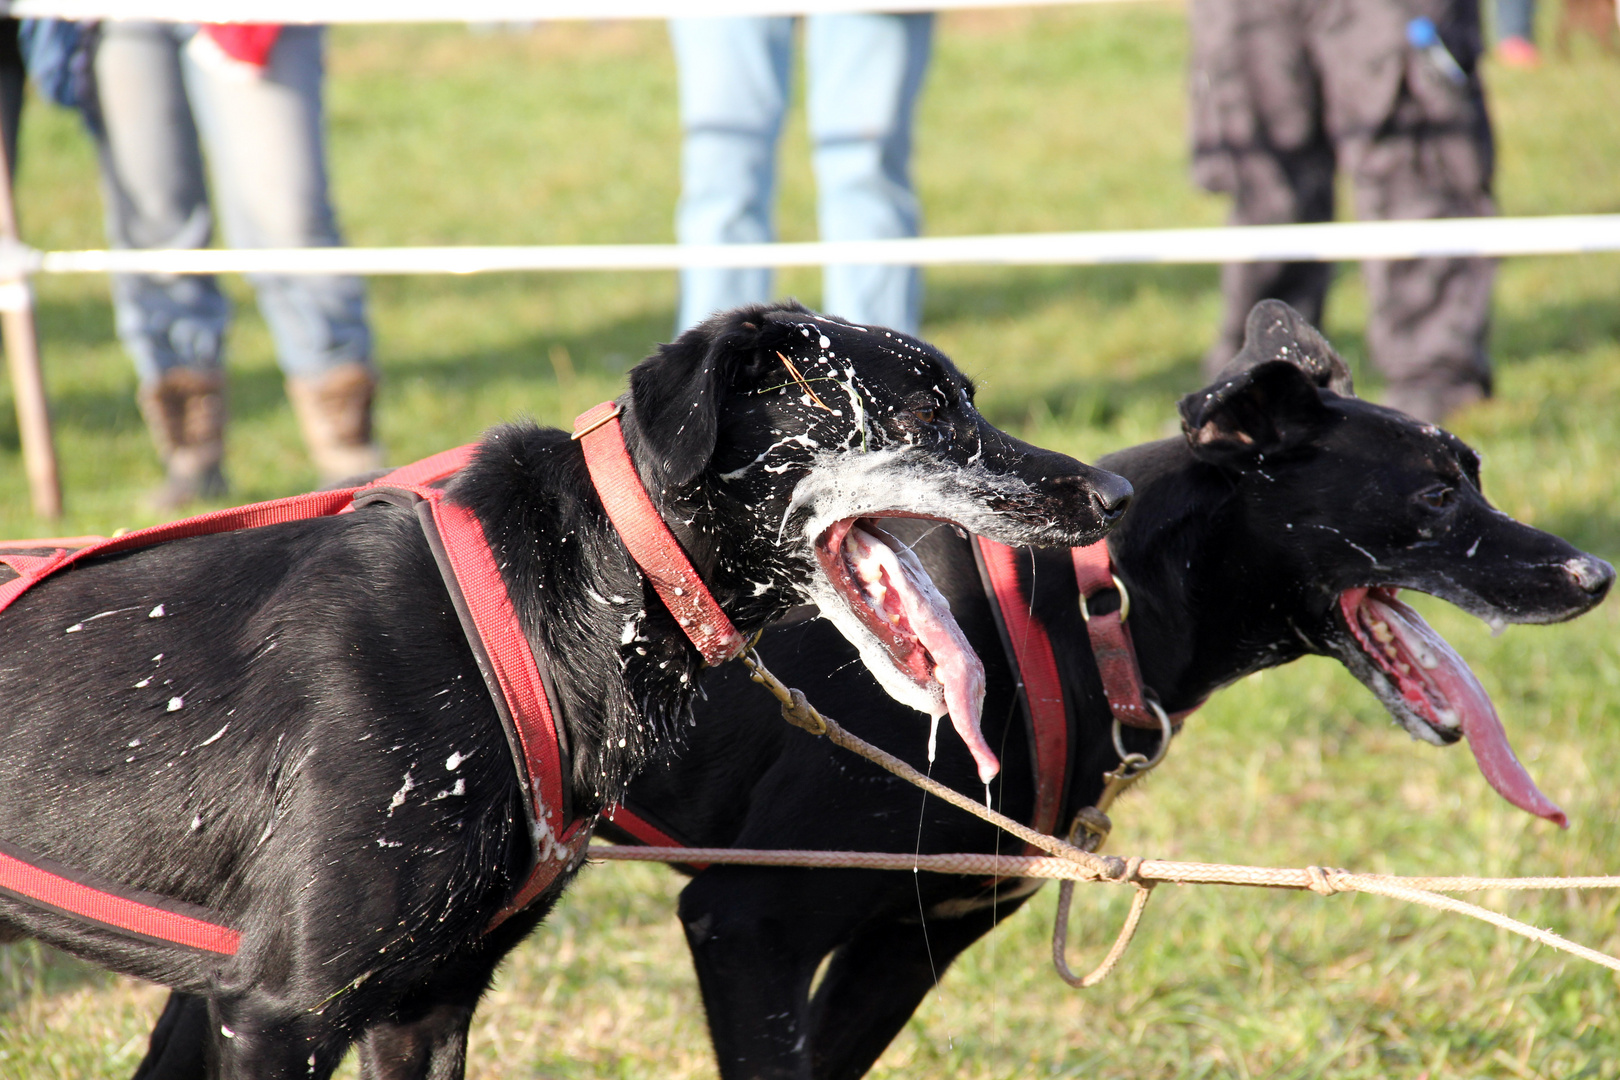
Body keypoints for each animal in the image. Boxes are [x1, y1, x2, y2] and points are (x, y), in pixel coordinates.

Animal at [0, 302, 1134, 1080]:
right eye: (926, 408)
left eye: (968, 396)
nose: (1115, 493)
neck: (547, 601)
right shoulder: (280, 1013)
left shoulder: (425, 1011)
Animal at [563, 302, 1600, 1080]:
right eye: (1435, 496)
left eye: (1474, 476)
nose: (1597, 574)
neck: (1084, 611)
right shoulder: (749, 927)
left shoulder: (906, 948)